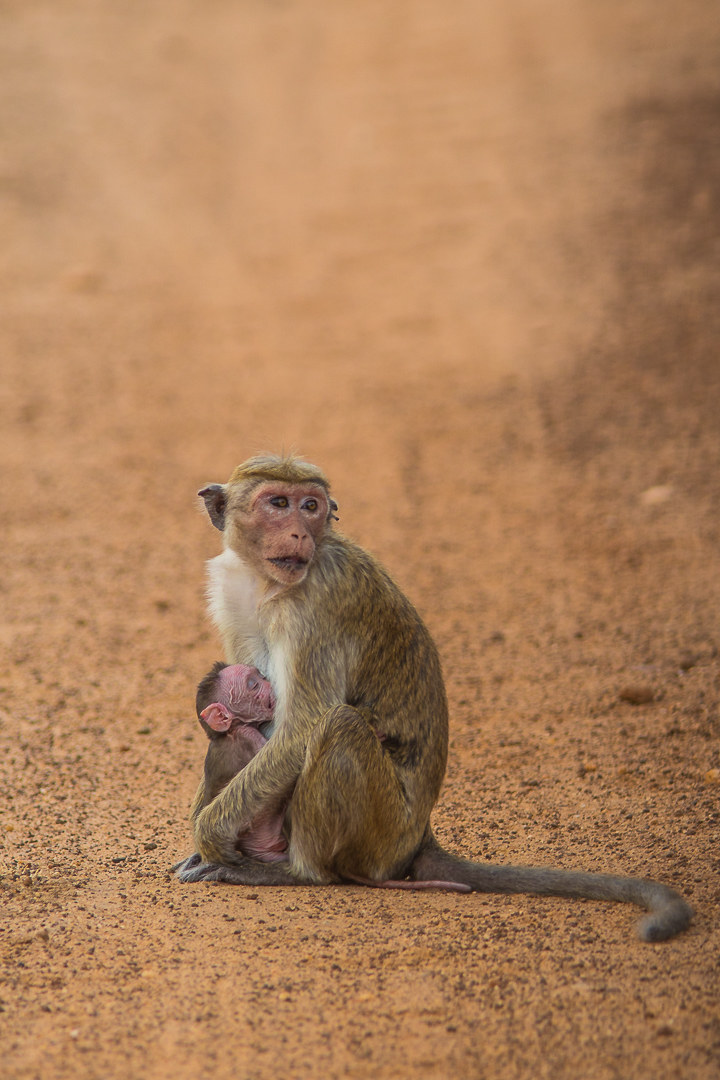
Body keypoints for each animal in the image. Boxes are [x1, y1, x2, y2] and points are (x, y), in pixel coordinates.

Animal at [174, 452, 692, 942]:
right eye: (279, 503)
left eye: (311, 506)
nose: (301, 532)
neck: (268, 584)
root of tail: (419, 835)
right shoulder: (233, 592)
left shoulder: (321, 593)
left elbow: (301, 725)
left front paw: (212, 834)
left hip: (384, 832)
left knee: (339, 726)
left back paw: (300, 874)